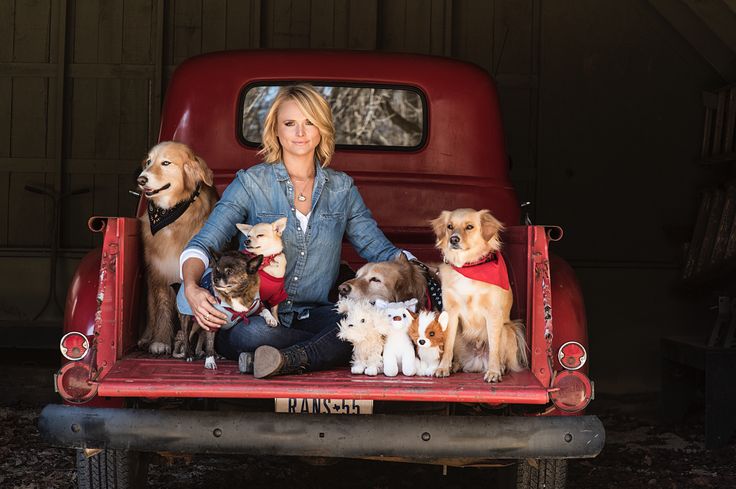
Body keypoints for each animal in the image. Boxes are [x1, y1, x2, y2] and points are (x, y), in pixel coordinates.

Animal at [136, 141, 217, 354]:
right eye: (148, 161)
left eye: (166, 163)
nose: (141, 179)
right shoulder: (160, 271)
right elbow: (162, 308)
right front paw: (160, 341)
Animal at [432, 208, 528, 384]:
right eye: (450, 226)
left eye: (469, 227)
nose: (453, 239)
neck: (469, 267)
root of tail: (477, 360)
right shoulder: (450, 312)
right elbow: (448, 346)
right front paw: (443, 367)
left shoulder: (493, 313)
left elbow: (494, 349)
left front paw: (493, 371)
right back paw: (455, 365)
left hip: (507, 330)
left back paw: (500, 368)